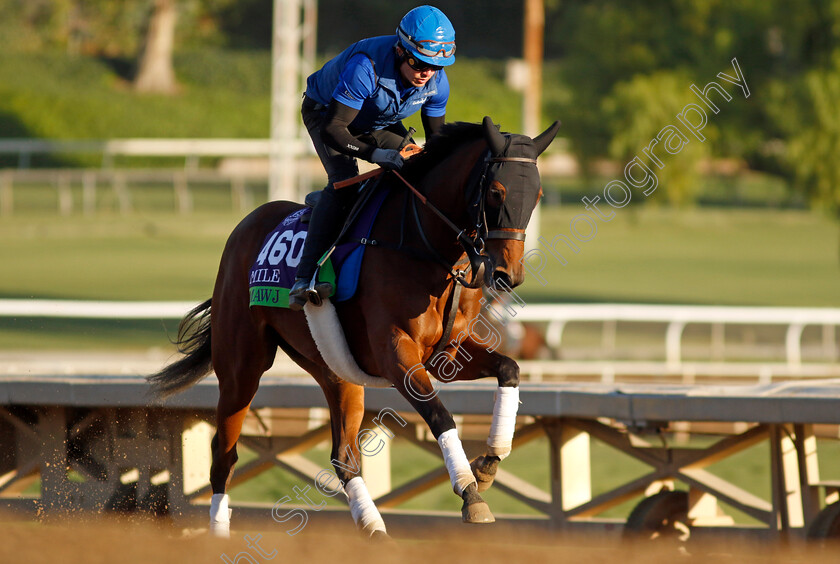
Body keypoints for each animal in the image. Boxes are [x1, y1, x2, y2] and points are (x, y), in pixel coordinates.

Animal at [148, 118, 560, 536]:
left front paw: (489, 461)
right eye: (496, 191)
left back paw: (375, 531)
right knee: (224, 453)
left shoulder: (446, 351)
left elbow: (509, 368)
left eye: (538, 193)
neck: (422, 245)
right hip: (241, 367)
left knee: (344, 456)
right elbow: (440, 415)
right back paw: (220, 533)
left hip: (335, 368)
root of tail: (246, 226)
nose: (507, 274)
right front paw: (470, 492)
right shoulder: (395, 353)